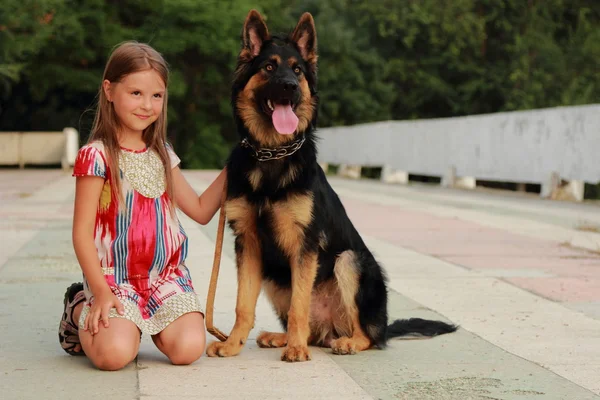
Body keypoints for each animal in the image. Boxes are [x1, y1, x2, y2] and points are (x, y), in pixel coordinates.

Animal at [205, 9, 454, 360]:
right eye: (269, 67)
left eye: (297, 70)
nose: (290, 86)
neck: (271, 154)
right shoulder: (248, 244)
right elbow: (244, 305)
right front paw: (232, 344)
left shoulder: (304, 245)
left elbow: (299, 305)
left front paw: (295, 350)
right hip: (274, 275)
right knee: (311, 328)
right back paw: (282, 337)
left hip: (349, 261)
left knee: (367, 336)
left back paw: (343, 342)